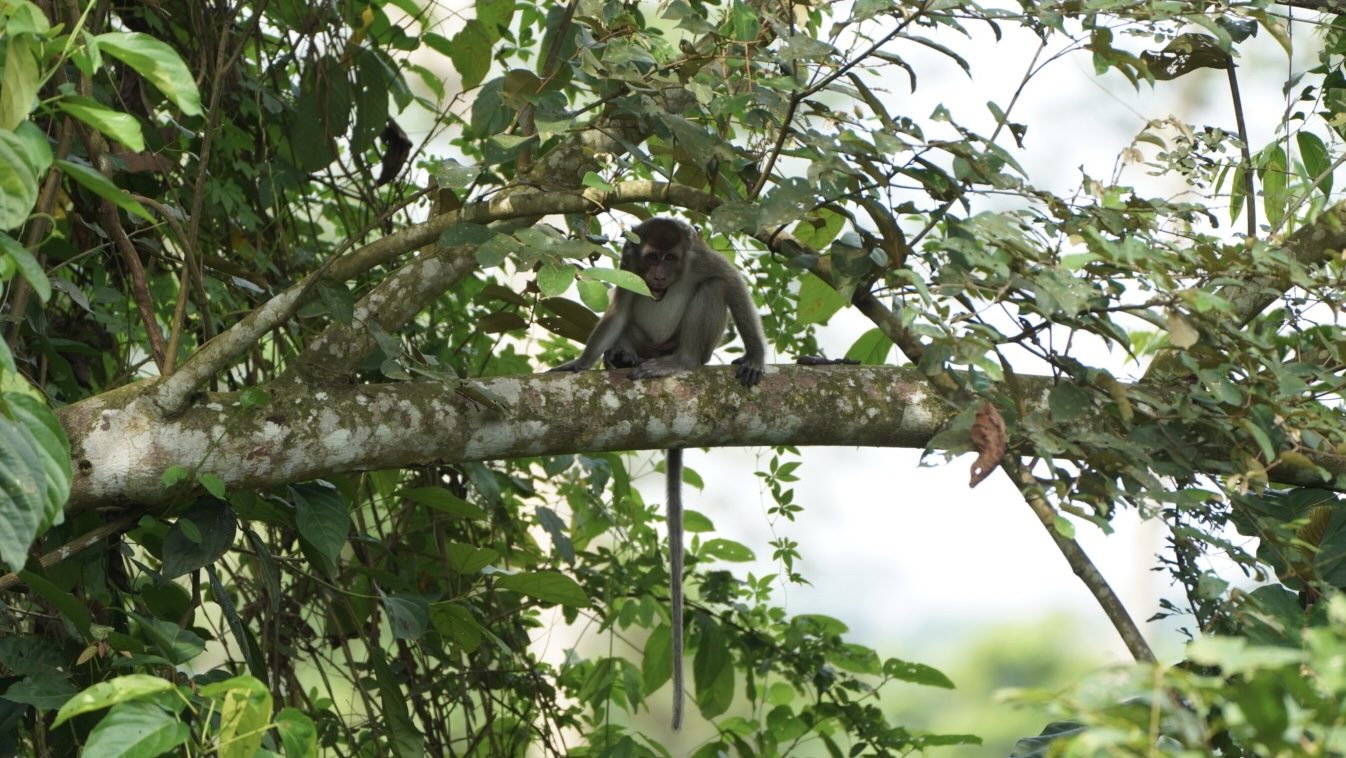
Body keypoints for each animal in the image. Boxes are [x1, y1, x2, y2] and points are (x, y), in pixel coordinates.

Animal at [549, 216, 769, 727]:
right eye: (652, 258)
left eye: (672, 258)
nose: (662, 276)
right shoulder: (628, 265)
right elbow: (618, 304)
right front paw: (582, 361)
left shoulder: (701, 258)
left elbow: (729, 283)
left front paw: (754, 356)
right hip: (643, 341)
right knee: (628, 320)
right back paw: (621, 359)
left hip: (689, 346)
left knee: (712, 292)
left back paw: (679, 362)